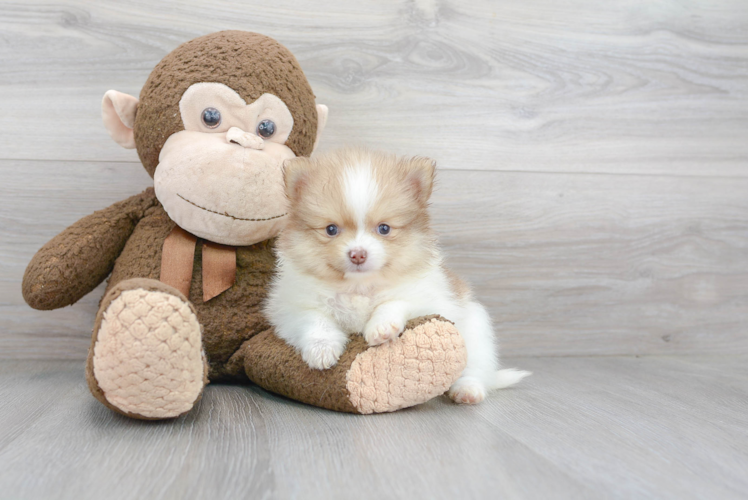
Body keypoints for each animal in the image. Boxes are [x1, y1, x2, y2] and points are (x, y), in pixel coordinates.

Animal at [266, 147, 528, 402]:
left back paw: (467, 390)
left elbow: (395, 302)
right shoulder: (293, 307)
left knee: (475, 369)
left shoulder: (429, 298)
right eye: (331, 229)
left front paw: (381, 327)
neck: (359, 287)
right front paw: (322, 350)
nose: (358, 254)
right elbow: (316, 322)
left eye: (384, 228)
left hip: (475, 331)